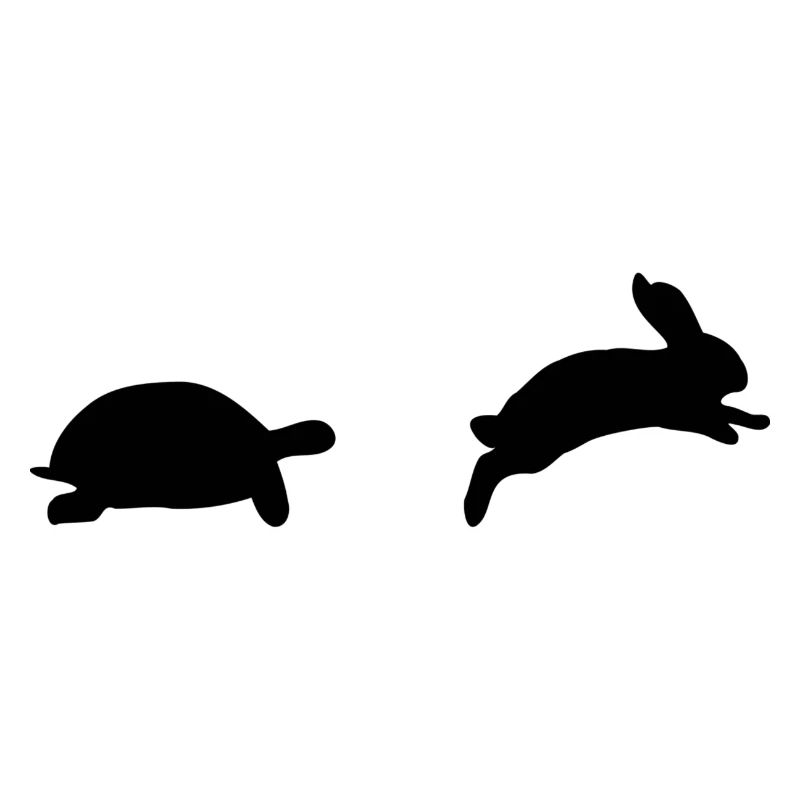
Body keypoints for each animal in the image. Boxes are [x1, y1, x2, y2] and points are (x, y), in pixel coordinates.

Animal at [464, 273, 770, 526]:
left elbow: (735, 413)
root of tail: (501, 423)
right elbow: (717, 423)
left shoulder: (710, 407)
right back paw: (472, 513)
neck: (680, 368)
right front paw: (731, 436)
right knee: (488, 462)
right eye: (718, 354)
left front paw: (761, 421)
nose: (743, 379)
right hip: (536, 450)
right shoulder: (685, 414)